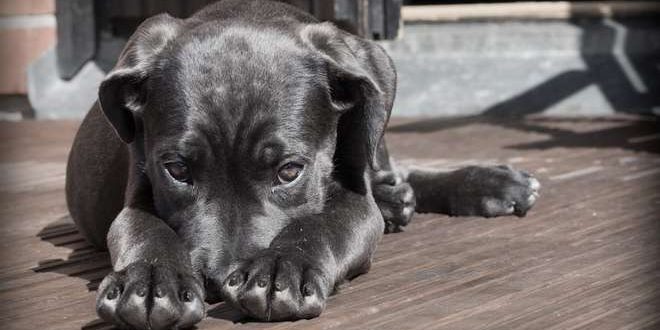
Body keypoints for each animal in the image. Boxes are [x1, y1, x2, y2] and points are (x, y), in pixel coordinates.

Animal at [65, 1, 540, 328]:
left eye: (289, 171)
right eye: (177, 171)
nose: (218, 281)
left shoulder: (354, 201)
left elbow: (322, 224)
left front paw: (281, 269)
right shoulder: (138, 191)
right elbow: (144, 229)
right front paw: (150, 281)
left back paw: (487, 184)